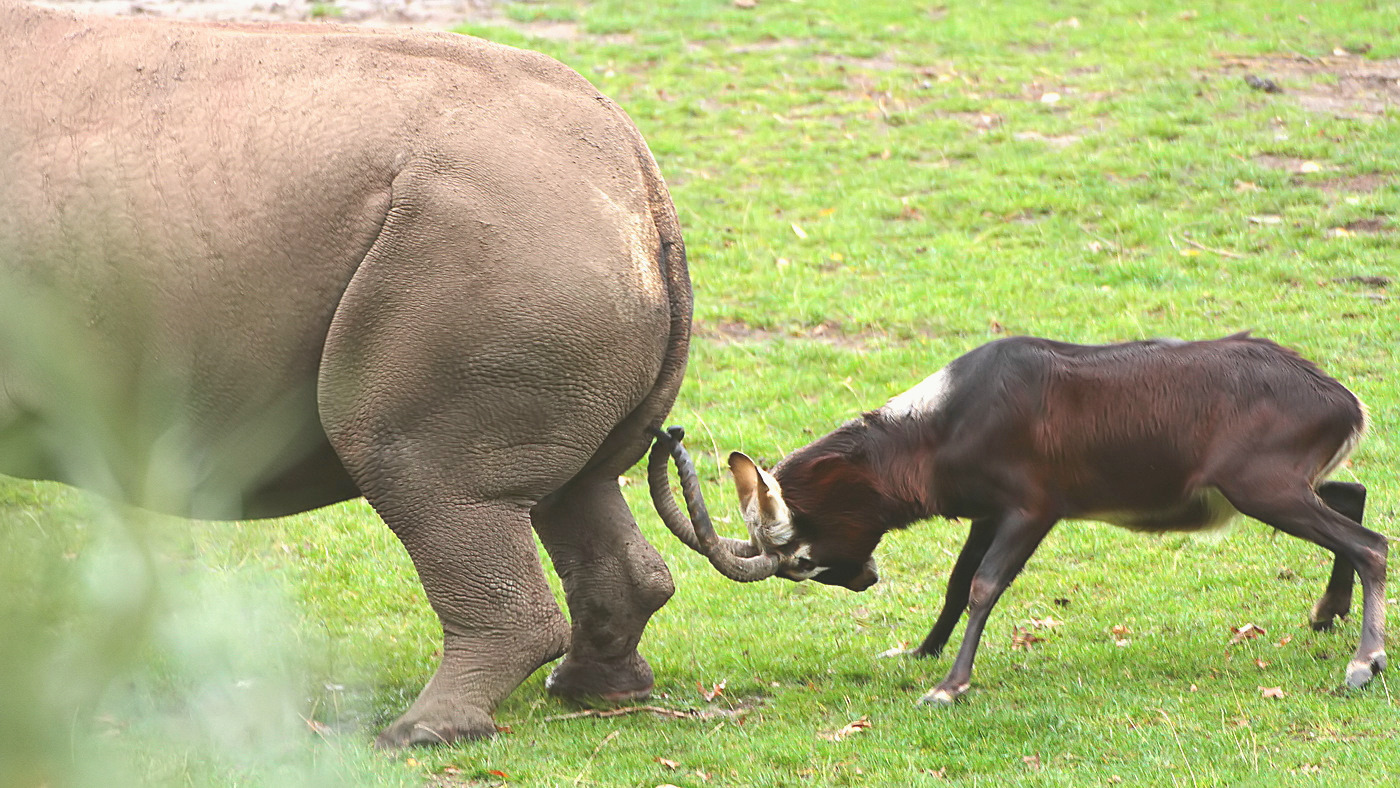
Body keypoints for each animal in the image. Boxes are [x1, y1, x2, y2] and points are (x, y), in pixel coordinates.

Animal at [660, 335, 1383, 705]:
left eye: (801, 561)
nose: (865, 578)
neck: (945, 423)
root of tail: (1344, 401)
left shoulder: (1034, 510)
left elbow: (984, 585)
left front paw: (949, 688)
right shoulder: (988, 512)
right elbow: (957, 583)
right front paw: (918, 652)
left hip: (1260, 489)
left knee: (1370, 542)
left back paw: (1363, 663)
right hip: (1272, 488)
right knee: (1352, 493)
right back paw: (1326, 615)